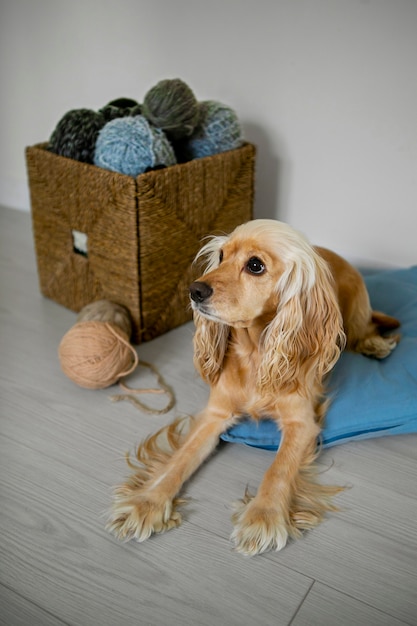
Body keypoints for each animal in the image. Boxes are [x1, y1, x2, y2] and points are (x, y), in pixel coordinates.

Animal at [108, 217, 400, 552]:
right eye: (221, 256)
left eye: (256, 265)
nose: (195, 290)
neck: (254, 352)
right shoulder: (215, 414)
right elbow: (180, 459)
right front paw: (146, 502)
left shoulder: (301, 423)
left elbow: (279, 468)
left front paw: (264, 516)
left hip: (356, 311)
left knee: (365, 330)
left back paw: (376, 345)